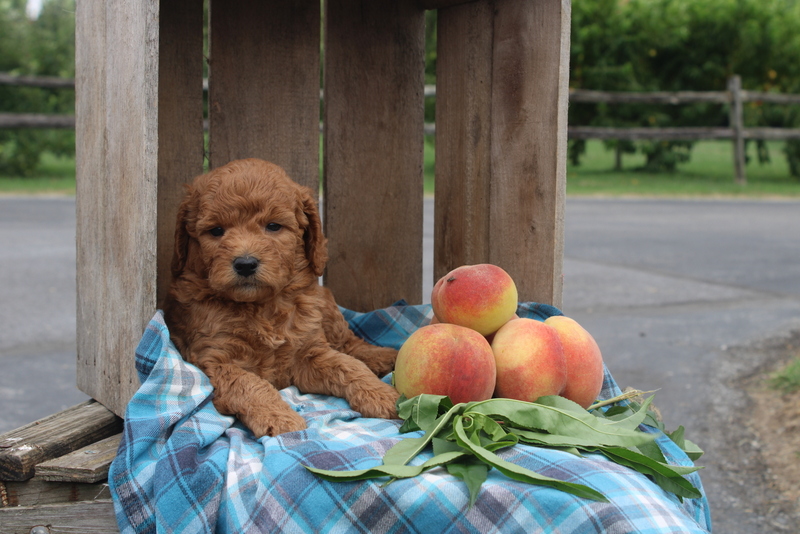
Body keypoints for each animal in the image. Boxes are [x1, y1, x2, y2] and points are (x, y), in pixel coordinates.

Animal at [162, 159, 400, 440]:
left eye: (273, 226)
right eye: (216, 231)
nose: (245, 264)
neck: (261, 306)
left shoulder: (309, 352)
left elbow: (349, 365)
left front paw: (382, 395)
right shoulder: (215, 360)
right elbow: (249, 383)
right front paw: (279, 418)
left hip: (325, 304)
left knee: (348, 343)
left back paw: (382, 356)